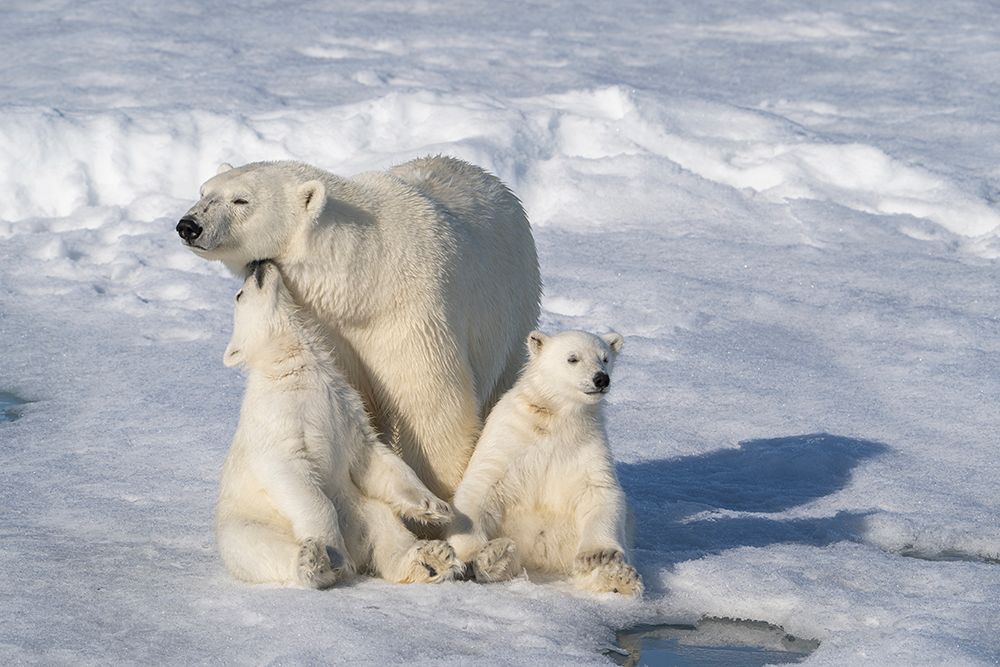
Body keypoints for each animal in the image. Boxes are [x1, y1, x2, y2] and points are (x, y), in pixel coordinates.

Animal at [179, 156, 542, 501]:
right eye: (203, 191)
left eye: (241, 199)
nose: (188, 226)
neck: (362, 281)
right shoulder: (326, 325)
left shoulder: (412, 315)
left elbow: (428, 404)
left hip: (513, 306)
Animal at [215, 260, 464, 588]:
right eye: (240, 295)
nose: (258, 264)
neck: (295, 366)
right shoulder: (276, 415)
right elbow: (289, 469)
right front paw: (332, 551)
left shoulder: (345, 404)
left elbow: (373, 456)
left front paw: (434, 507)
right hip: (247, 525)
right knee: (261, 548)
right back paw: (314, 563)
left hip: (359, 508)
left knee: (386, 528)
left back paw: (432, 559)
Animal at [446, 329, 643, 597]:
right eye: (573, 358)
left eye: (605, 358)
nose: (601, 379)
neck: (555, 418)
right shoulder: (509, 437)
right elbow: (480, 486)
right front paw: (477, 553)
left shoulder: (588, 445)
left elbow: (601, 493)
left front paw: (599, 556)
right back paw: (497, 556)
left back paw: (619, 578)